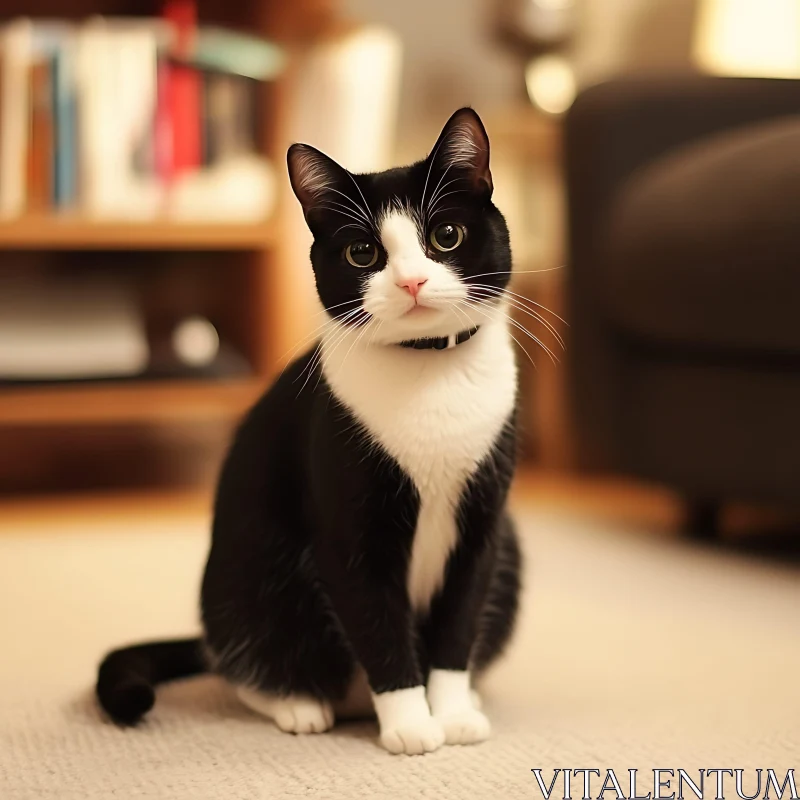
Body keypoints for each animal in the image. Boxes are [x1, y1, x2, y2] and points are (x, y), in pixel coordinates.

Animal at [98, 108, 524, 756]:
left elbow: (457, 624)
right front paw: (410, 724)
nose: (411, 283)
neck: (430, 373)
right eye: (363, 252)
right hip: (245, 571)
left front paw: (450, 712)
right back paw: (298, 704)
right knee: (240, 653)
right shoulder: (350, 532)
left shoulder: (482, 529)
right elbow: (378, 626)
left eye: (446, 236)